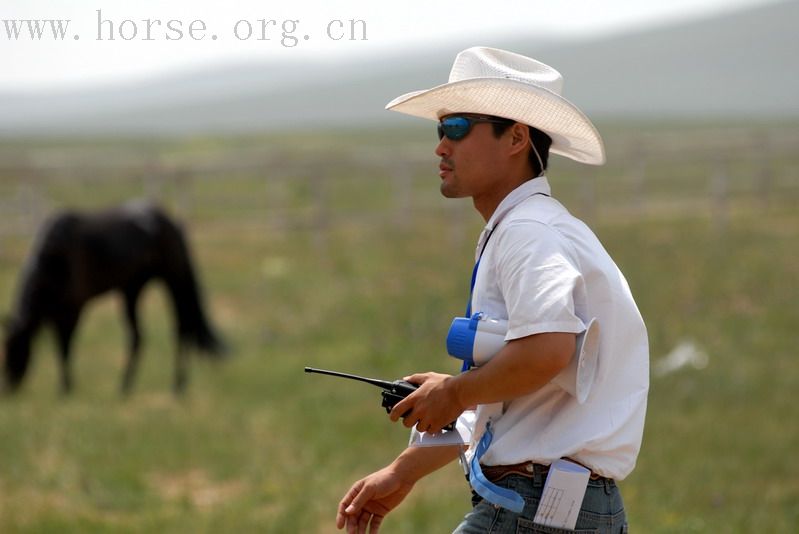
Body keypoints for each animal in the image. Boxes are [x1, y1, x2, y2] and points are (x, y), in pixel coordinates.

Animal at [2, 203, 225, 396]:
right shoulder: (52, 314)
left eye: (14, 347)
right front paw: (65, 387)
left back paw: (177, 386)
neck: (54, 256)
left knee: (181, 329)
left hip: (173, 281)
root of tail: (170, 222)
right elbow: (61, 349)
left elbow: (65, 348)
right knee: (138, 337)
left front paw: (65, 389)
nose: (8, 388)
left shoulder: (72, 309)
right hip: (132, 290)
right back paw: (125, 387)